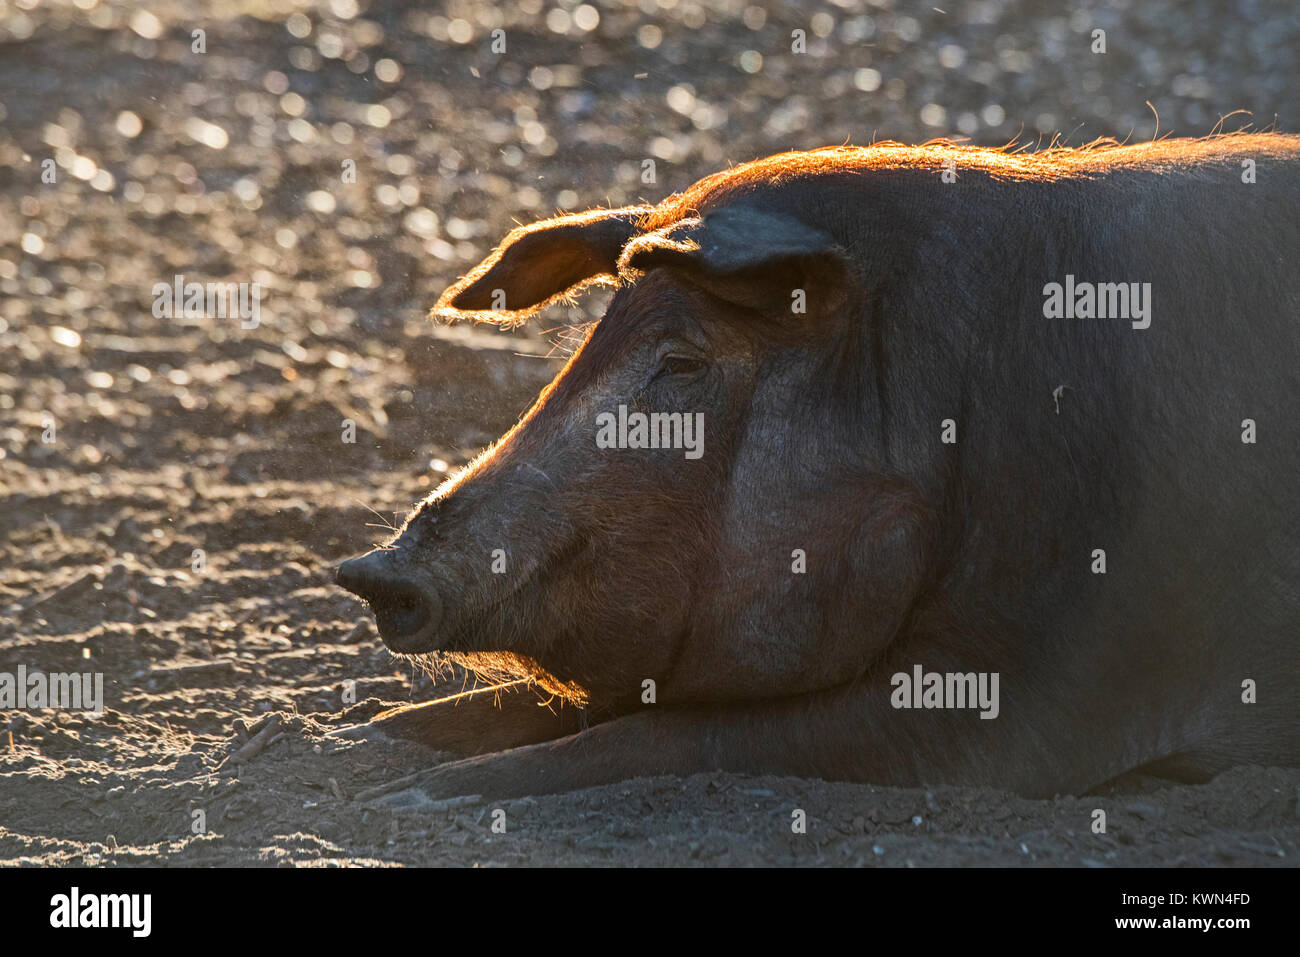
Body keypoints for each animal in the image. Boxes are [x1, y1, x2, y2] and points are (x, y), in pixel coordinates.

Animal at [338, 134, 1300, 806]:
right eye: (582, 351)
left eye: (680, 363)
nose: (371, 567)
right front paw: (368, 738)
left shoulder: (1060, 682)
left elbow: (682, 736)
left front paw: (411, 798)